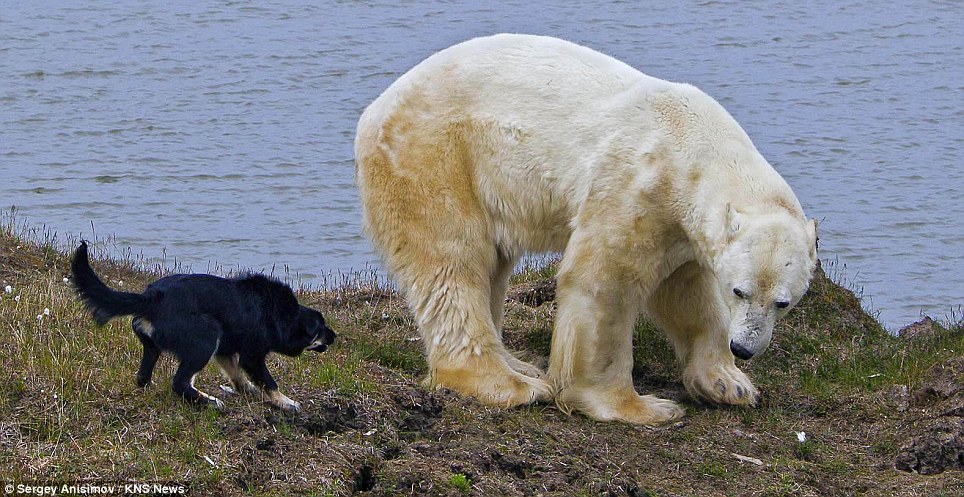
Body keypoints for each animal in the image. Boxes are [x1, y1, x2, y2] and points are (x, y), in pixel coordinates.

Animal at [70, 242, 336, 412]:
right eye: (320, 328)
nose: (335, 336)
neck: (281, 314)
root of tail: (152, 298)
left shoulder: (226, 351)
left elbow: (237, 376)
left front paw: (247, 390)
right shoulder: (252, 356)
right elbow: (269, 382)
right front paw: (286, 403)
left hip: (156, 347)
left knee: (143, 377)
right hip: (205, 338)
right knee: (179, 383)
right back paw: (209, 402)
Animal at [356, 34, 820, 422]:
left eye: (783, 301)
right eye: (739, 291)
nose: (745, 348)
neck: (695, 144)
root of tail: (375, 109)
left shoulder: (682, 226)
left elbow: (686, 292)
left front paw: (729, 383)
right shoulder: (638, 186)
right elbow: (604, 282)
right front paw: (641, 407)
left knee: (490, 267)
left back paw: (520, 364)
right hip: (436, 157)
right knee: (453, 263)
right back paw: (511, 384)